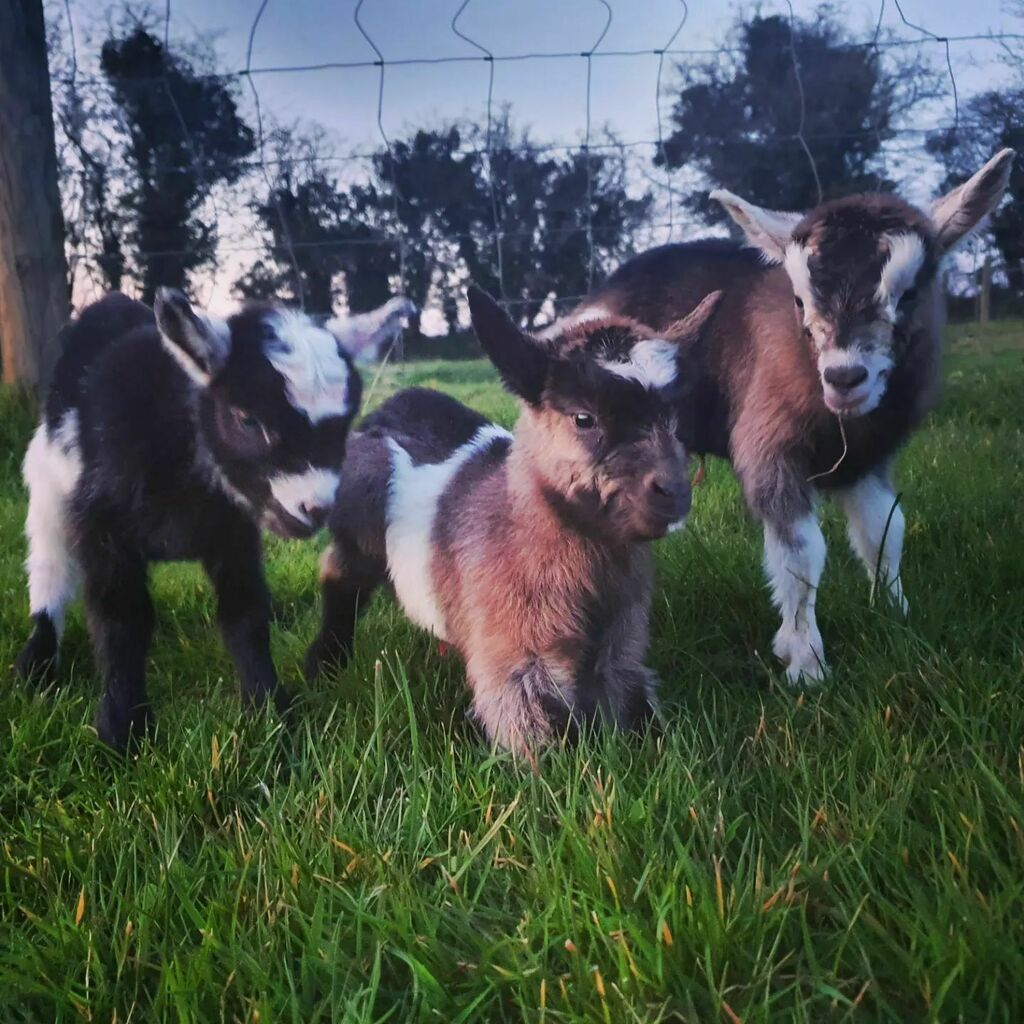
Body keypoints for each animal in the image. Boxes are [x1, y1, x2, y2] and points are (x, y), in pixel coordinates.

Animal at [15, 288, 413, 750]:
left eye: (345, 423)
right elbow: (121, 621)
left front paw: (270, 711)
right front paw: (123, 729)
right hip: (48, 490)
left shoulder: (233, 532)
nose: (314, 508)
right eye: (247, 419)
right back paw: (37, 663)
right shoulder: (103, 531)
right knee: (49, 568)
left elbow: (245, 614)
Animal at [304, 286, 721, 752]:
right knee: (340, 578)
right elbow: (545, 742)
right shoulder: (517, 662)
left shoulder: (623, 643)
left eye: (673, 418)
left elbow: (634, 705)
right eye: (583, 418)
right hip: (357, 534)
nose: (674, 492)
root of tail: (389, 406)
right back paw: (324, 663)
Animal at [562, 149, 1014, 682]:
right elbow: (801, 553)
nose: (844, 377)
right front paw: (806, 663)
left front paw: (896, 613)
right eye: (800, 300)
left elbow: (885, 531)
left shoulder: (868, 459)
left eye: (909, 294)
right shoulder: (769, 448)